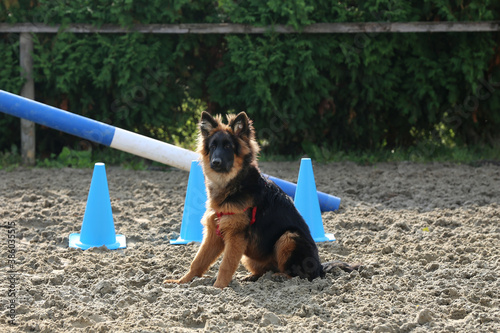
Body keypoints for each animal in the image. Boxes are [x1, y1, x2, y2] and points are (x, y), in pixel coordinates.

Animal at [165, 111, 360, 288]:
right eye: (213, 147)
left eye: (228, 147)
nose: (216, 162)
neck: (233, 186)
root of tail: (320, 267)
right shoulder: (214, 233)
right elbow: (198, 261)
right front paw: (181, 282)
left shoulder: (235, 236)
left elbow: (226, 265)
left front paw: (218, 288)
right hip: (251, 256)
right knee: (267, 270)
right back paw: (253, 277)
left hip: (288, 237)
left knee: (300, 275)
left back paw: (281, 278)